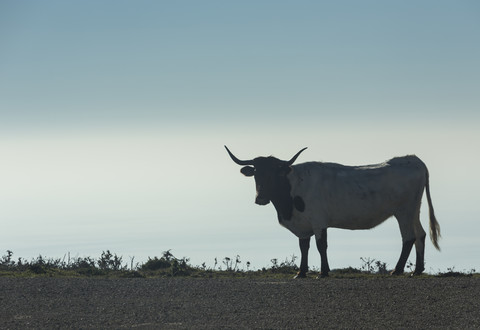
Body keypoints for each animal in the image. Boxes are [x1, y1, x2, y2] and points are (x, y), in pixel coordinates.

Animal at [226, 146, 442, 278]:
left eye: (274, 174)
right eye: (257, 173)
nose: (260, 198)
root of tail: (414, 160)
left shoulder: (318, 221)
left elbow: (321, 245)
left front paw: (323, 272)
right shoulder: (303, 225)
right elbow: (304, 246)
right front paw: (301, 273)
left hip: (404, 211)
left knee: (409, 237)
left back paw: (397, 270)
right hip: (414, 210)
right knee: (421, 234)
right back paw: (417, 270)